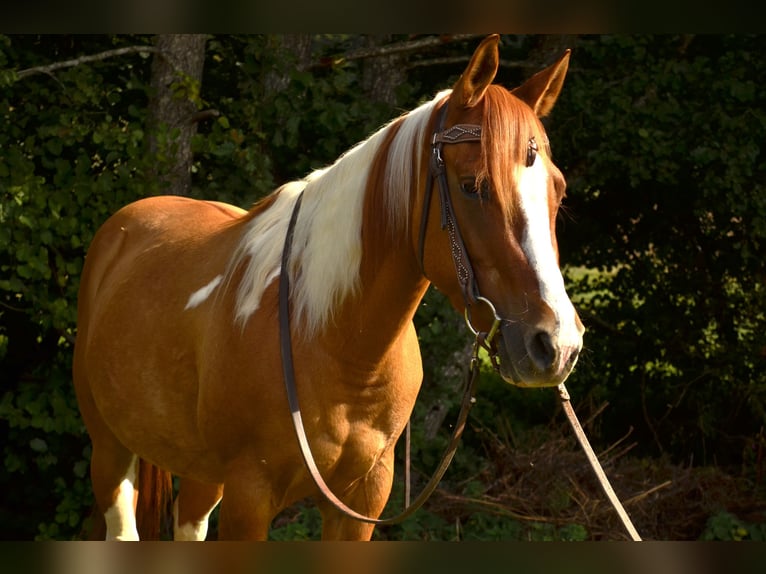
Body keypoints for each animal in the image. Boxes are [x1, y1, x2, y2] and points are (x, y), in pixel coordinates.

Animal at [73, 34, 584, 541]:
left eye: (558, 190)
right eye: (472, 185)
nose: (556, 344)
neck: (333, 340)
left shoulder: (362, 502)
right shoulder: (248, 499)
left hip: (200, 472)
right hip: (110, 451)